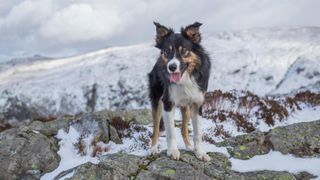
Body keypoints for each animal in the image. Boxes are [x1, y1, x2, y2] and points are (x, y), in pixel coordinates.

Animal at [149, 21, 211, 161]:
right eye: (167, 51)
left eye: (184, 51)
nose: (172, 67)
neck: (185, 78)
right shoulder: (167, 102)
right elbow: (171, 131)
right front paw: (173, 151)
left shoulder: (197, 103)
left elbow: (197, 132)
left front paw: (199, 152)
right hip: (157, 101)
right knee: (156, 127)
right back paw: (153, 148)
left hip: (186, 108)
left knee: (183, 129)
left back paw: (189, 146)